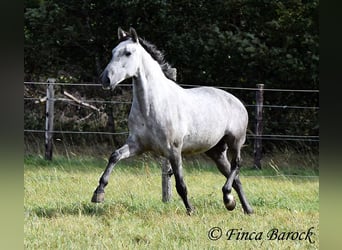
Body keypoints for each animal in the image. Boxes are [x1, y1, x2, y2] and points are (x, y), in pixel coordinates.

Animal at [91, 27, 254, 215]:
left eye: (128, 53)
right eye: (112, 52)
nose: (105, 79)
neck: (152, 107)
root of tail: (237, 102)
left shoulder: (174, 150)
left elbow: (180, 185)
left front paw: (191, 211)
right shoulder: (136, 145)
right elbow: (114, 156)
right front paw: (98, 193)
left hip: (235, 141)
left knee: (236, 165)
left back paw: (228, 197)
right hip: (216, 151)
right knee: (235, 178)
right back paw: (244, 207)